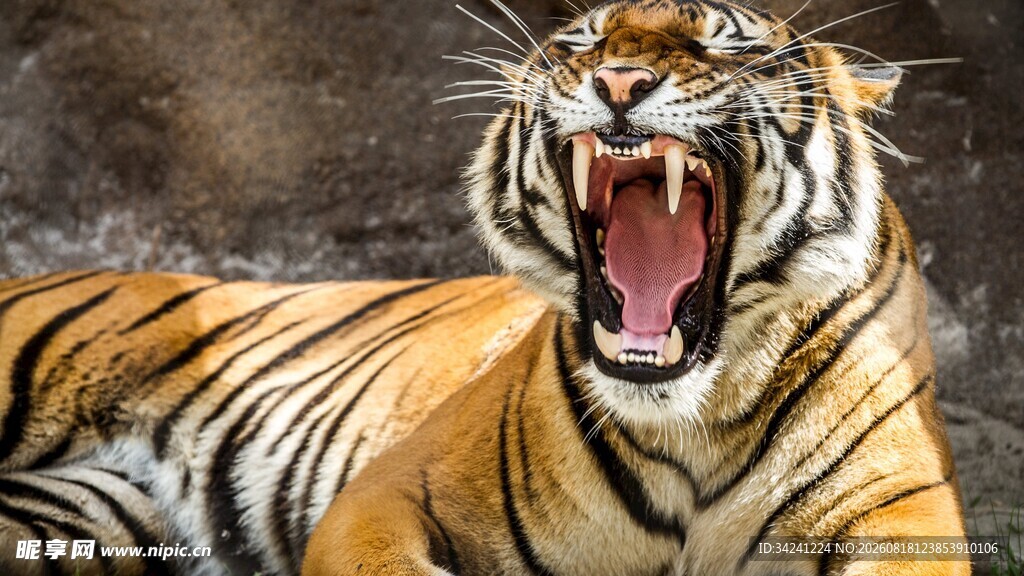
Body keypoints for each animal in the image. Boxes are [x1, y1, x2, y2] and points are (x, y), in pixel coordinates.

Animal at [0, 0, 967, 575]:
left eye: (719, 42)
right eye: (583, 42)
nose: (619, 79)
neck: (695, 417)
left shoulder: (900, 516)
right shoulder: (383, 495)